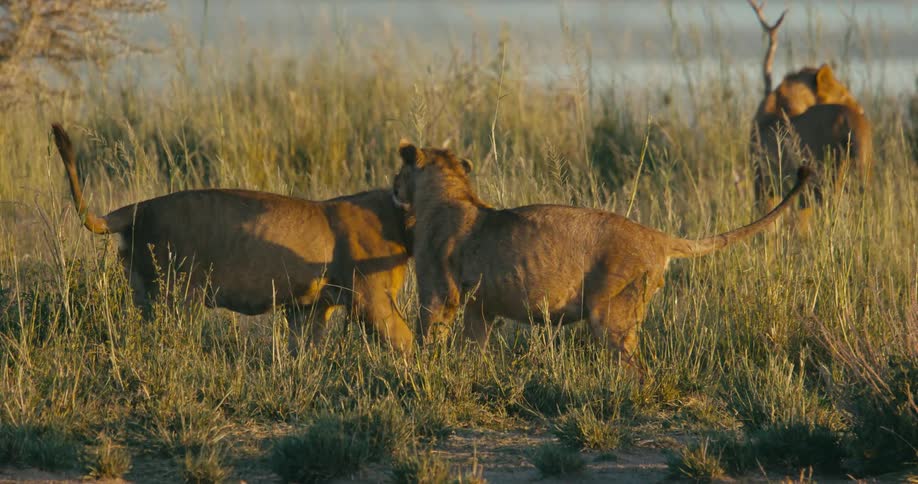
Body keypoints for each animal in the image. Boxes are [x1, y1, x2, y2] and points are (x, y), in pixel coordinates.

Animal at [52, 124, 414, 353]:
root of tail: (140, 208)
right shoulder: (372, 300)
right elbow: (404, 339)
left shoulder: (308, 307)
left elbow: (304, 347)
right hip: (178, 294)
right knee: (170, 336)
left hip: (141, 290)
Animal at [393, 141, 810, 360]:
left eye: (397, 172)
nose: (394, 188)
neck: (449, 193)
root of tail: (656, 235)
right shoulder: (480, 307)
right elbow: (474, 347)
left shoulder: (438, 294)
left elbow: (429, 335)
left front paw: (426, 369)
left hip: (609, 314)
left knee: (636, 370)